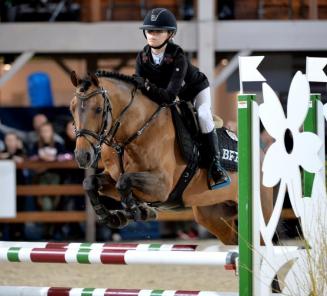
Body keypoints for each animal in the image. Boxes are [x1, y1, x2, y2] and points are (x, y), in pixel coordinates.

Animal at [70, 70, 272, 244]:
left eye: (98, 109)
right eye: (72, 109)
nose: (82, 156)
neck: (133, 133)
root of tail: (261, 153)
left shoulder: (161, 186)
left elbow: (124, 182)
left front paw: (139, 211)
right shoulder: (113, 177)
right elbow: (90, 183)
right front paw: (113, 216)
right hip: (214, 215)